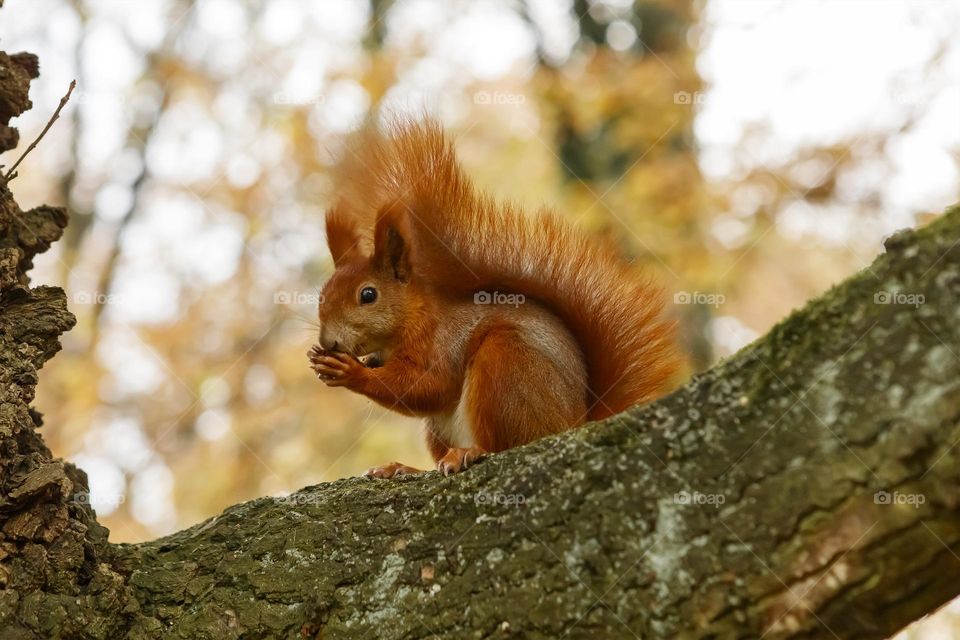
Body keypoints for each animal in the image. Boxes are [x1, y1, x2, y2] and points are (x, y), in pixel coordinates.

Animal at [308, 118, 680, 478]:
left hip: (506, 367)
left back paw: (468, 453)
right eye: (322, 295)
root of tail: (574, 424)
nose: (329, 342)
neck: (413, 317)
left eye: (368, 295)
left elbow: (428, 387)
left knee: (502, 445)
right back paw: (403, 468)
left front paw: (351, 371)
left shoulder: (442, 342)